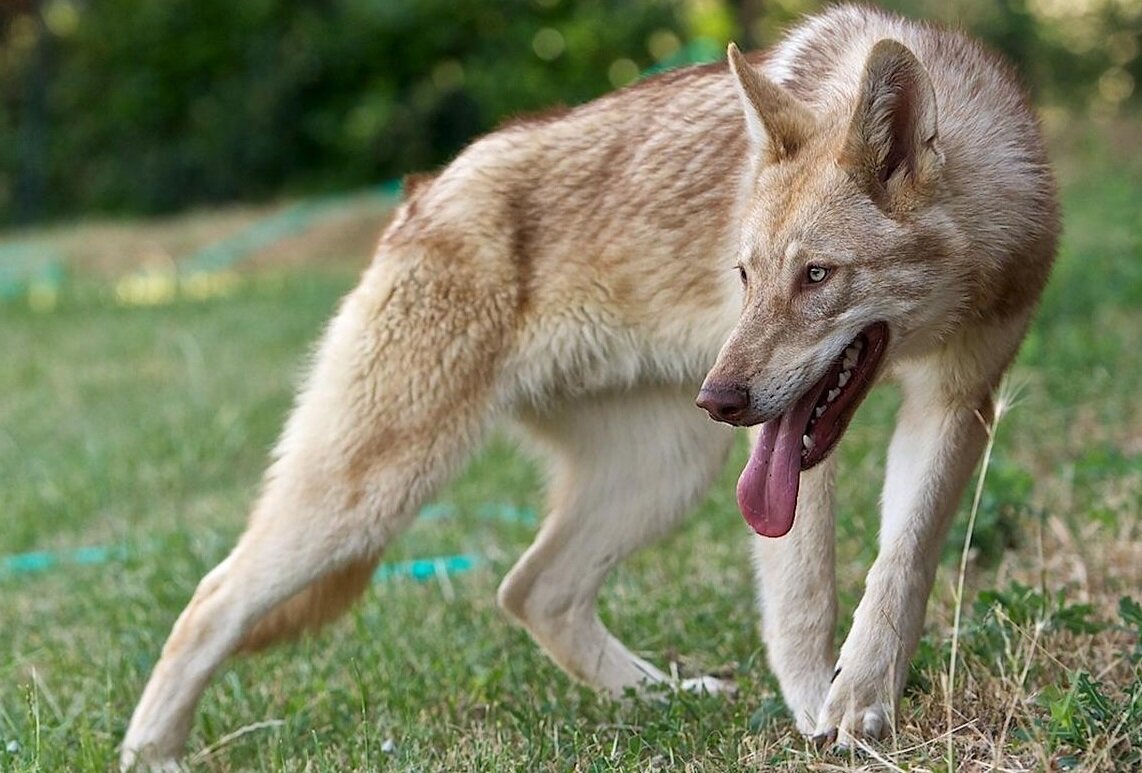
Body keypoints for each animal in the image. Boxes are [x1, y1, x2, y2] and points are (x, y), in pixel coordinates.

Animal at [120, 4, 1055, 767]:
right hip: (369, 497)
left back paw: (662, 695)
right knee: (211, 598)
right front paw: (815, 712)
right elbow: (806, 595)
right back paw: (151, 752)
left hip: (665, 473)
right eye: (745, 275)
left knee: (532, 590)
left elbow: (899, 569)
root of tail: (420, 193)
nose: (721, 398)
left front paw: (860, 701)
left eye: (816, 275)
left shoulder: (956, 406)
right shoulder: (791, 447)